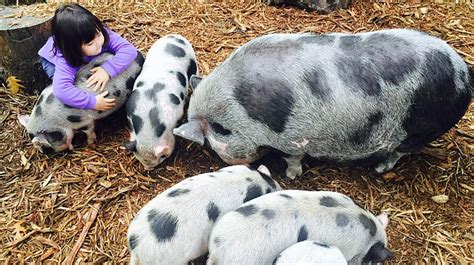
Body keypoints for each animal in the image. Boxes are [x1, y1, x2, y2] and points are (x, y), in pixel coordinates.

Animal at [124, 34, 198, 168]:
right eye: (140, 159)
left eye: (161, 157)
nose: (148, 168)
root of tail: (175, 36)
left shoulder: (178, 113)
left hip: (193, 62)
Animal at [175, 28, 474, 177]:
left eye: (213, 141)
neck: (239, 110)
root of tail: (464, 74)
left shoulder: (293, 139)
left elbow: (293, 159)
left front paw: (290, 176)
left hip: (421, 128)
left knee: (401, 151)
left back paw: (378, 169)